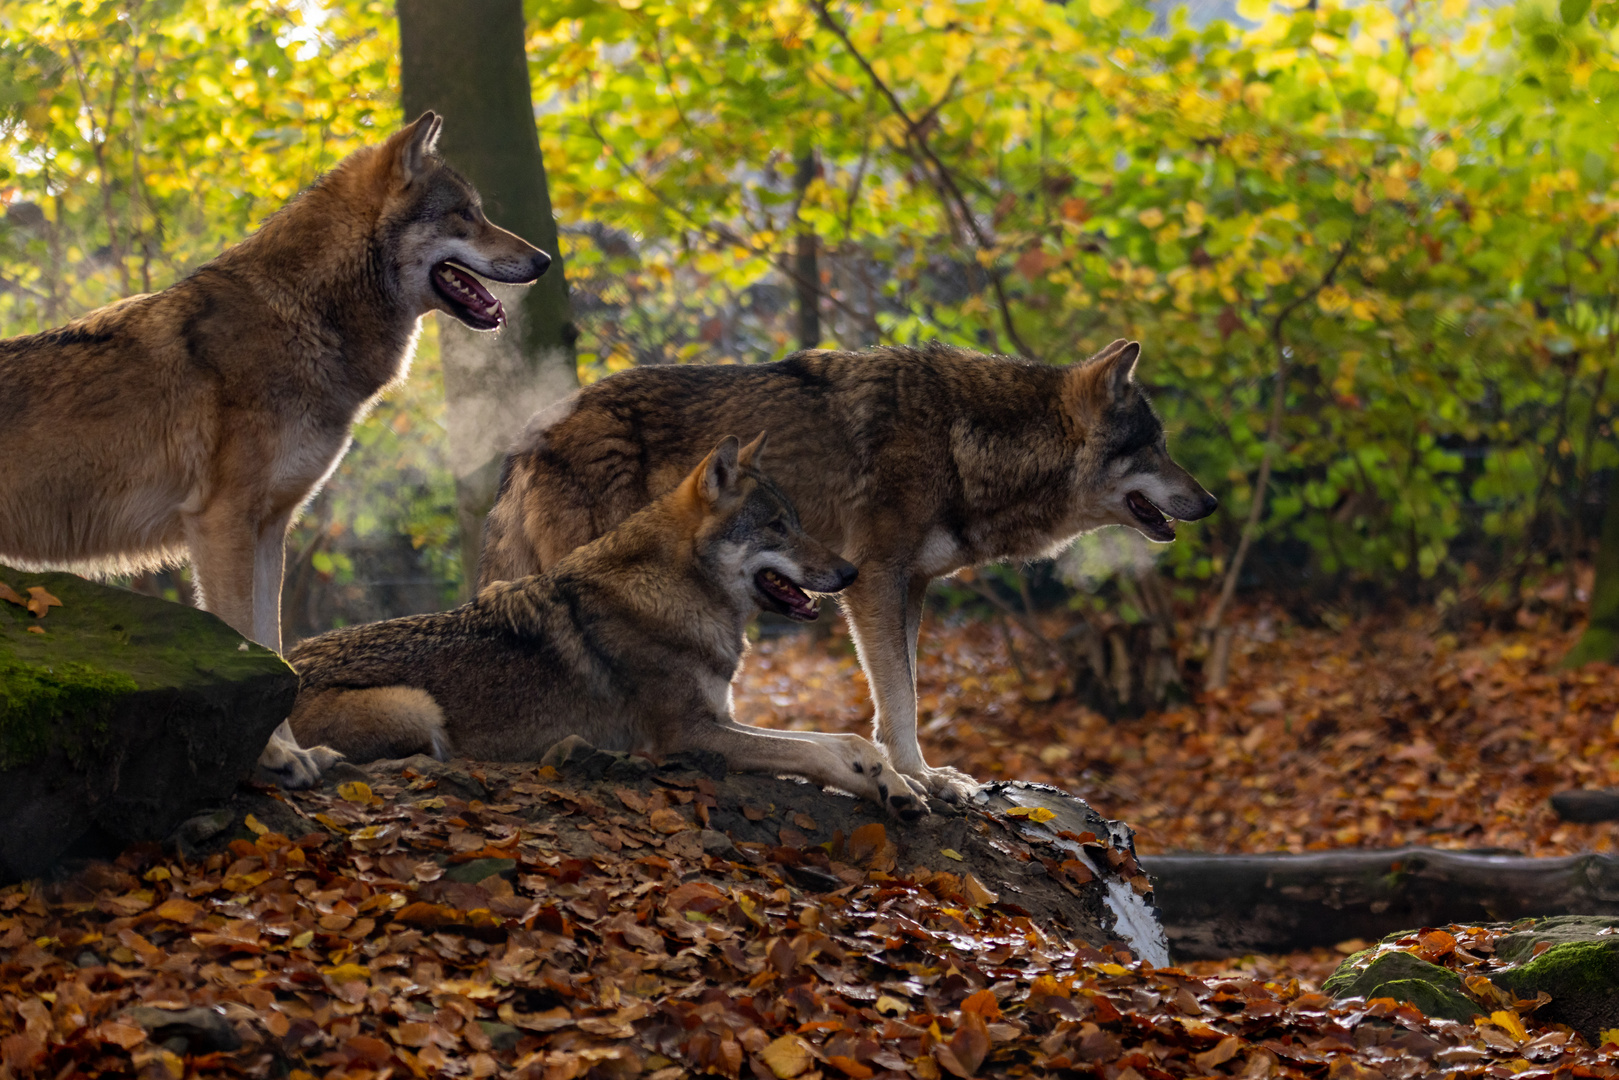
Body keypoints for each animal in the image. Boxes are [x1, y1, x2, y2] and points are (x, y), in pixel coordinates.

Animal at [0, 111, 553, 786]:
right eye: (465, 215)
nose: (543, 259)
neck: (305, 318)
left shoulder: (269, 529)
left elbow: (276, 652)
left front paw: (294, 754)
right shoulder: (221, 524)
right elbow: (248, 641)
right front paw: (268, 757)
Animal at [286, 433, 926, 816]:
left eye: (794, 521)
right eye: (777, 526)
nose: (850, 572)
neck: (676, 596)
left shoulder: (720, 717)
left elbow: (837, 739)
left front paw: (894, 779)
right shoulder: (688, 734)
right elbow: (815, 753)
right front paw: (879, 781)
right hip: (417, 707)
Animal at [475, 340, 1217, 803]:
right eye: (1153, 448)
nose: (1209, 501)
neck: (966, 440)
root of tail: (527, 438)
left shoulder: (911, 586)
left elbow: (901, 697)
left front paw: (923, 775)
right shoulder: (876, 579)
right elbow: (901, 697)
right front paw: (917, 778)